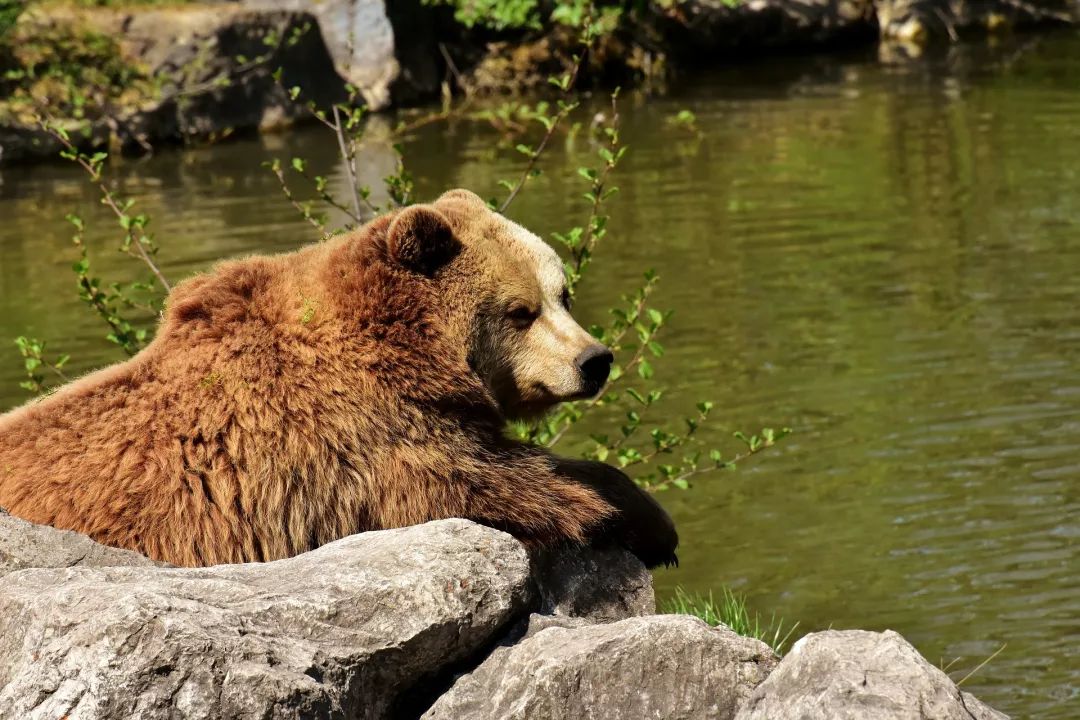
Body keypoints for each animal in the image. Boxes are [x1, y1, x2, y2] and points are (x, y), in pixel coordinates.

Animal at [0, 189, 673, 569]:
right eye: (519, 311)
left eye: (563, 293)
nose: (593, 359)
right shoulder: (345, 442)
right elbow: (479, 482)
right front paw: (625, 516)